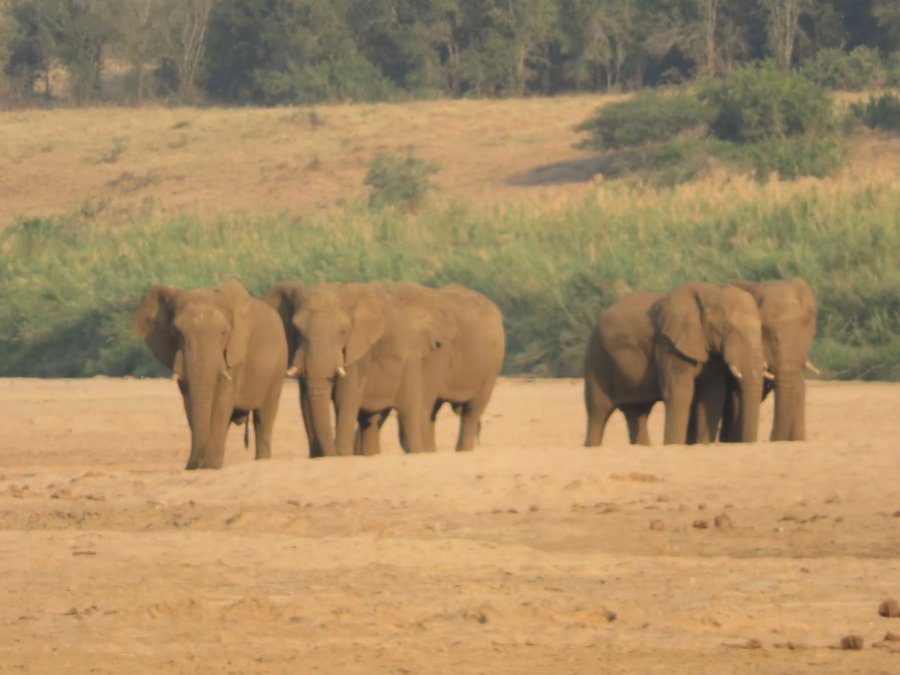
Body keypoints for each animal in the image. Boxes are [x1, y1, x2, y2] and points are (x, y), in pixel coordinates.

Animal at [133, 280, 288, 470]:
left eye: (224, 333)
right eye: (177, 332)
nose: (191, 465)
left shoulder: (235, 354)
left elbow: (222, 402)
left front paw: (211, 466)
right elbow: (190, 403)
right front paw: (201, 466)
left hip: (278, 367)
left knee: (264, 417)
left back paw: (262, 460)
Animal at [265, 281, 446, 457]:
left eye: (344, 331)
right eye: (297, 330)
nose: (330, 453)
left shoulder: (358, 350)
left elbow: (345, 396)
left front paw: (341, 454)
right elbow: (305, 399)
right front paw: (319, 457)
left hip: (410, 363)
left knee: (409, 413)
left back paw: (416, 452)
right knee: (372, 420)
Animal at [583, 281, 765, 446]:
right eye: (727, 328)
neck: (709, 291)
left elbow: (712, 393)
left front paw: (703, 445)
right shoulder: (668, 345)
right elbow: (679, 391)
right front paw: (673, 445)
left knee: (637, 411)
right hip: (596, 357)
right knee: (598, 411)